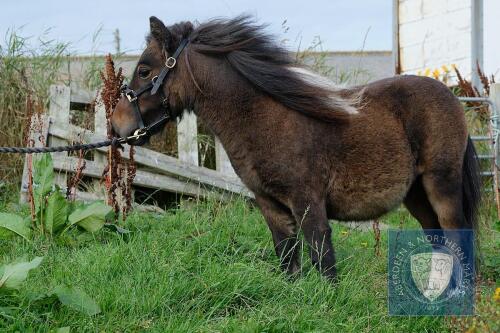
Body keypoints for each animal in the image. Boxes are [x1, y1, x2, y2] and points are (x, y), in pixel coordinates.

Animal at [111, 15, 478, 280]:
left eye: (144, 69)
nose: (117, 125)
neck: (263, 119)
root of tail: (450, 97)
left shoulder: (307, 201)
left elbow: (322, 258)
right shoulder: (269, 204)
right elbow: (288, 258)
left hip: (441, 184)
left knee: (456, 233)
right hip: (416, 194)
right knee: (439, 240)